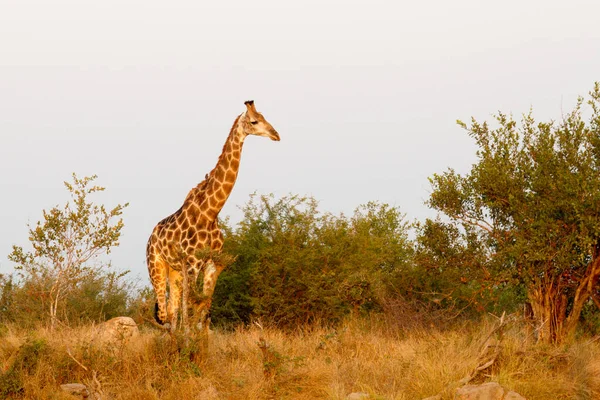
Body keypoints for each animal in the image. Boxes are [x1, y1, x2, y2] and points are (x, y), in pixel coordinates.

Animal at [145, 100, 278, 332]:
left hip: (175, 271)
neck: (210, 212)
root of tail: (150, 238)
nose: (275, 134)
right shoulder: (192, 263)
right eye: (254, 121)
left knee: (171, 310)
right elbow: (191, 310)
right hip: (156, 267)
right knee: (164, 312)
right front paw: (189, 342)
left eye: (264, 117)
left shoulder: (211, 264)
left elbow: (203, 309)